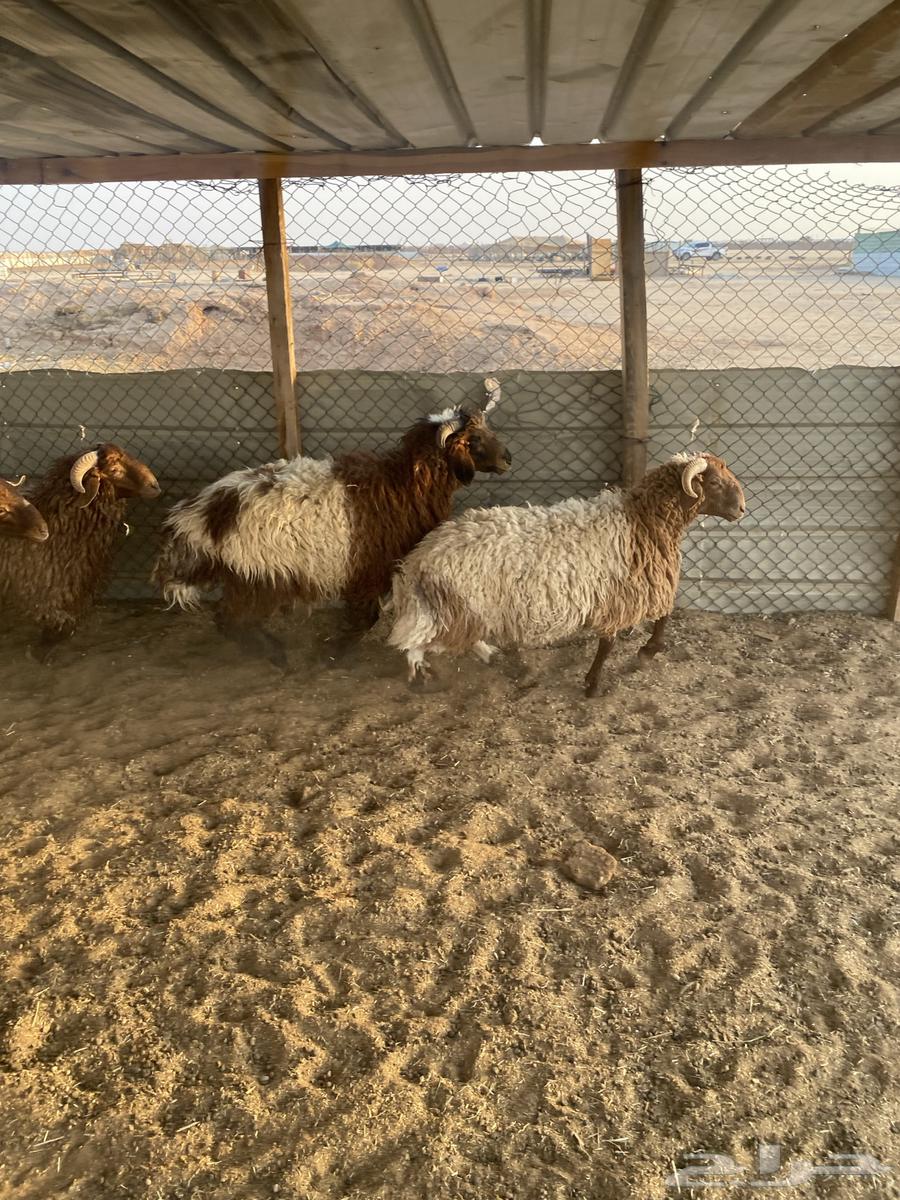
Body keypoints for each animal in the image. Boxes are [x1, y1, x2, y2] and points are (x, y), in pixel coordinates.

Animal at [152, 379, 512, 668]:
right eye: (474, 440)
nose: (508, 459)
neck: (403, 484)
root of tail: (193, 518)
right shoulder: (369, 567)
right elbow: (366, 617)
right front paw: (334, 655)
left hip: (247, 577)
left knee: (231, 620)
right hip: (257, 575)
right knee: (230, 620)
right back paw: (276, 656)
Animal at [387, 452, 746, 694]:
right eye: (714, 482)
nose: (742, 509)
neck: (642, 521)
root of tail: (418, 560)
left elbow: (661, 617)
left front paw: (645, 652)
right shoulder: (622, 593)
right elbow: (616, 640)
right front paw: (595, 683)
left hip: (464, 607)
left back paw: (486, 655)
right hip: (456, 605)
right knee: (419, 642)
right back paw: (421, 676)